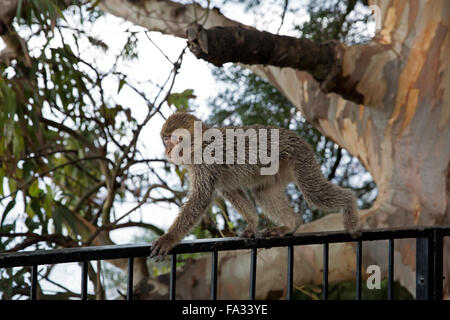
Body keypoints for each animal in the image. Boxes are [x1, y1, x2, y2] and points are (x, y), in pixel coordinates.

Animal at [149, 111, 360, 258]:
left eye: (171, 139)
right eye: (164, 140)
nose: (167, 151)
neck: (198, 145)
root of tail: (297, 137)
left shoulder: (206, 162)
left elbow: (201, 196)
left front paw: (170, 237)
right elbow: (230, 190)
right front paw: (252, 223)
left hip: (300, 156)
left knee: (313, 193)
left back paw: (349, 204)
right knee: (263, 193)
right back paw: (291, 224)